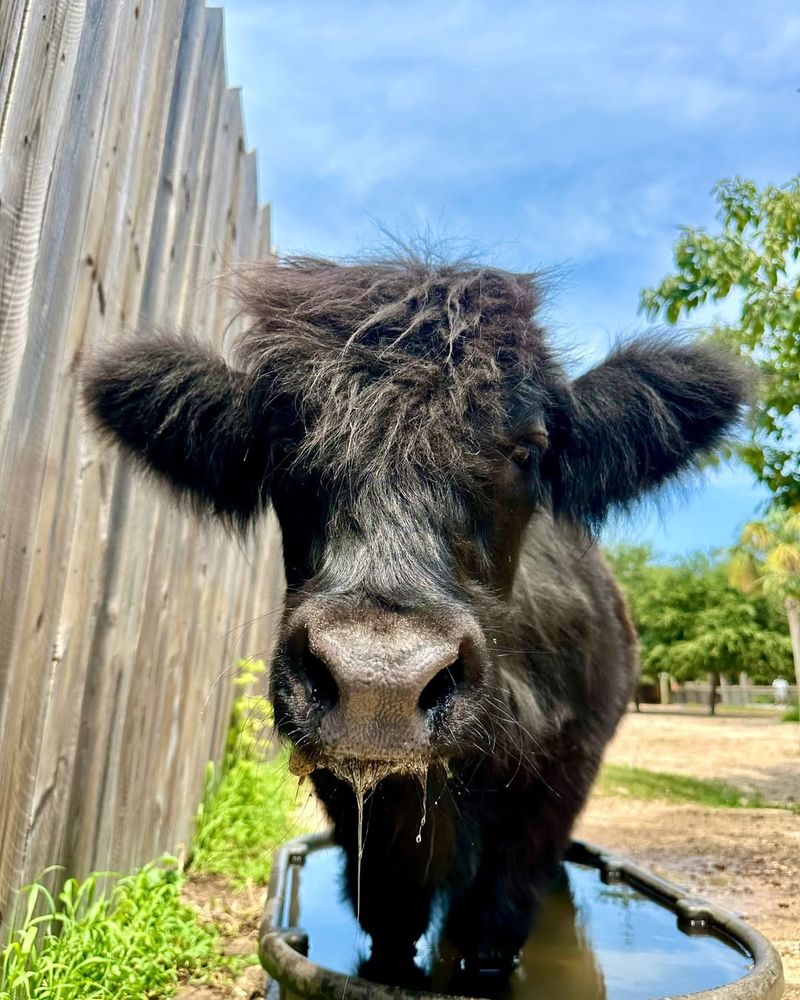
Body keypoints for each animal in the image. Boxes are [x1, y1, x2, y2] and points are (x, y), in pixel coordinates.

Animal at [83, 256, 749, 991]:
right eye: (281, 437)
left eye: (528, 448)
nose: (380, 683)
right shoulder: (360, 824)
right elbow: (390, 932)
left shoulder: (558, 786)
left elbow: (489, 936)